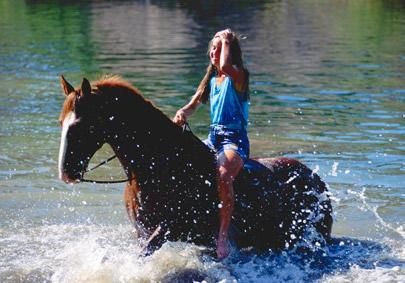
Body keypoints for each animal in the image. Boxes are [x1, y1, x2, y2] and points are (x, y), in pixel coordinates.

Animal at [57, 75, 332, 255]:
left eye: (82, 125)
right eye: (61, 122)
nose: (65, 172)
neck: (158, 167)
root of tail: (317, 182)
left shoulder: (167, 230)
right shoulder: (142, 231)